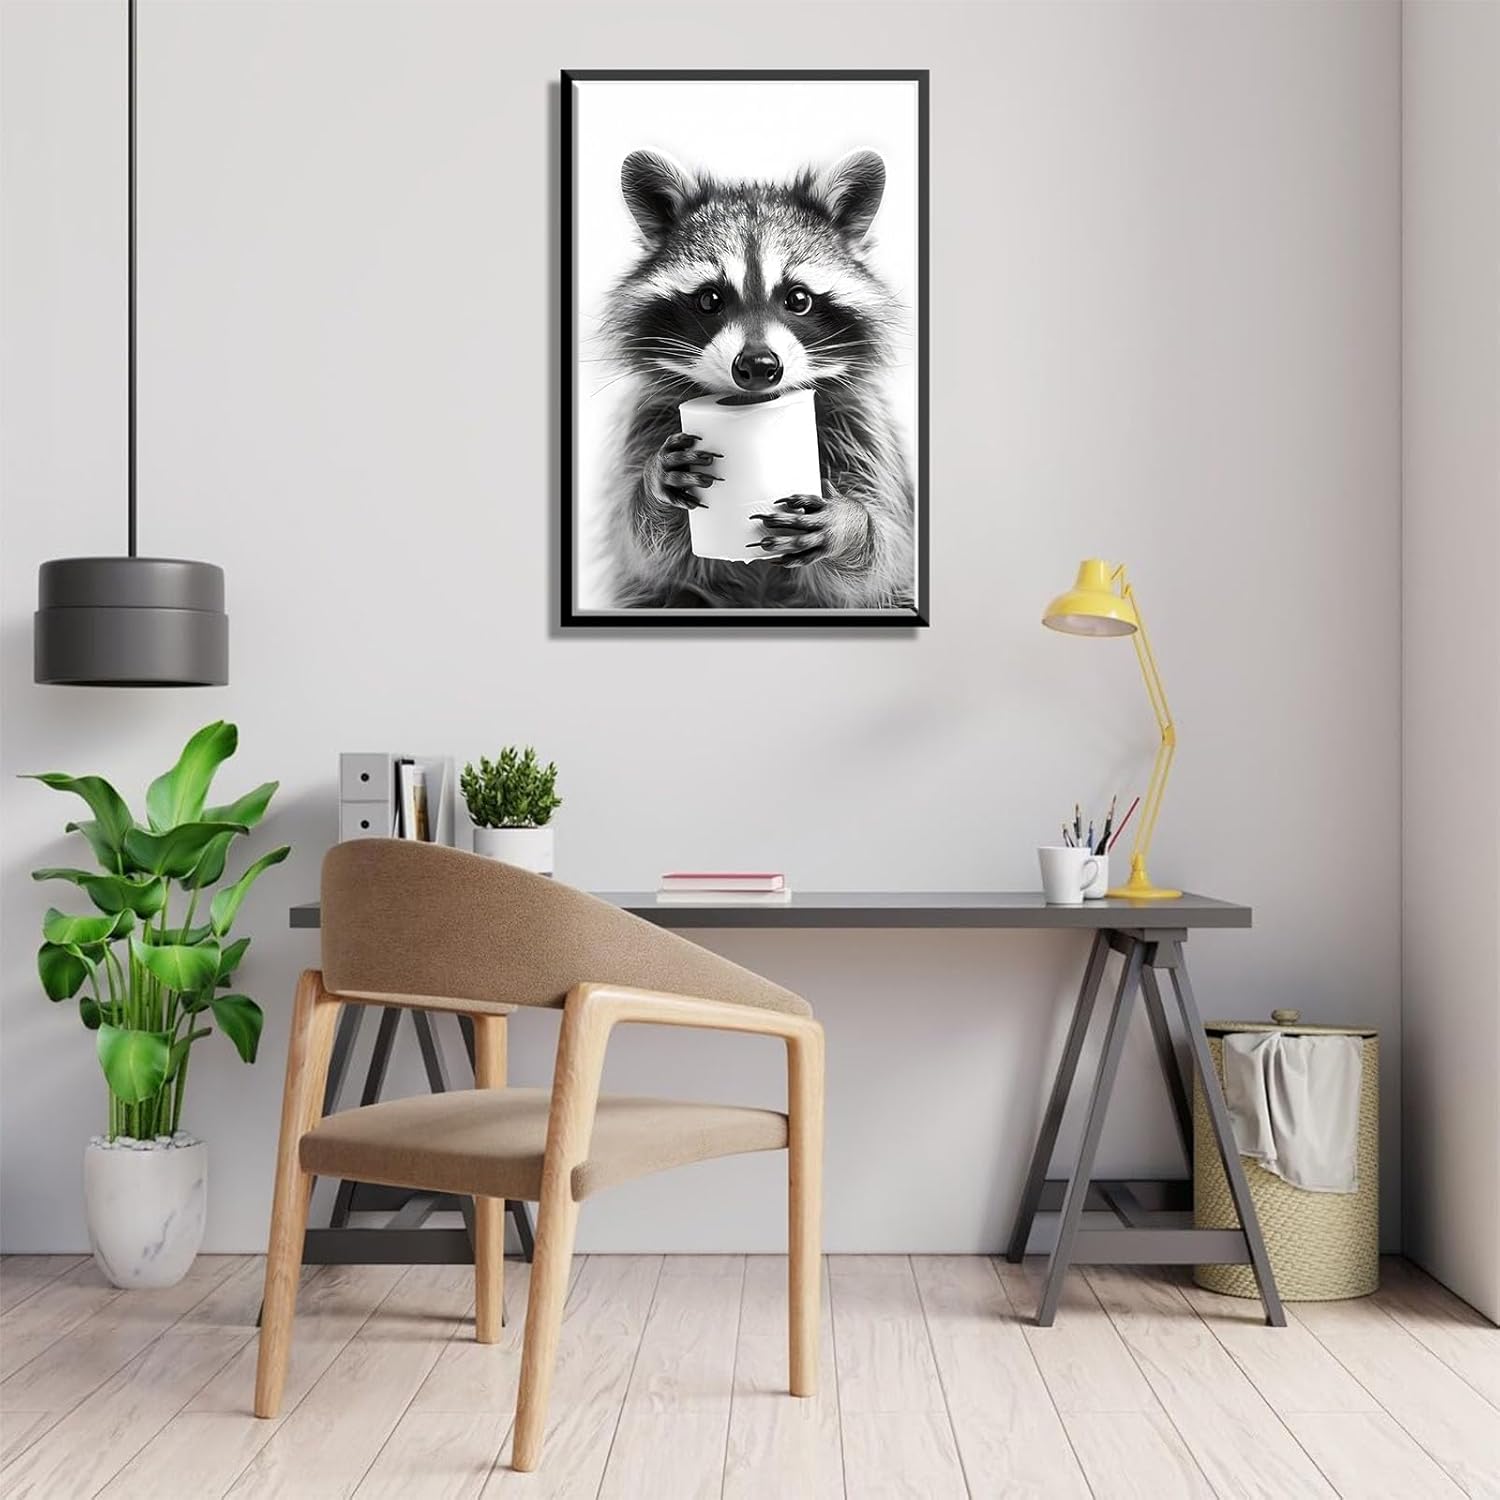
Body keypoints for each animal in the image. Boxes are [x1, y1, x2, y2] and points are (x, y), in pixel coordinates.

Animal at [598, 148, 915, 611]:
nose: (758, 365)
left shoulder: (862, 429)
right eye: (709, 299)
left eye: (798, 299)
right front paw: (654, 486)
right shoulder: (648, 420)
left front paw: (852, 525)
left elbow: (881, 561)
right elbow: (644, 550)